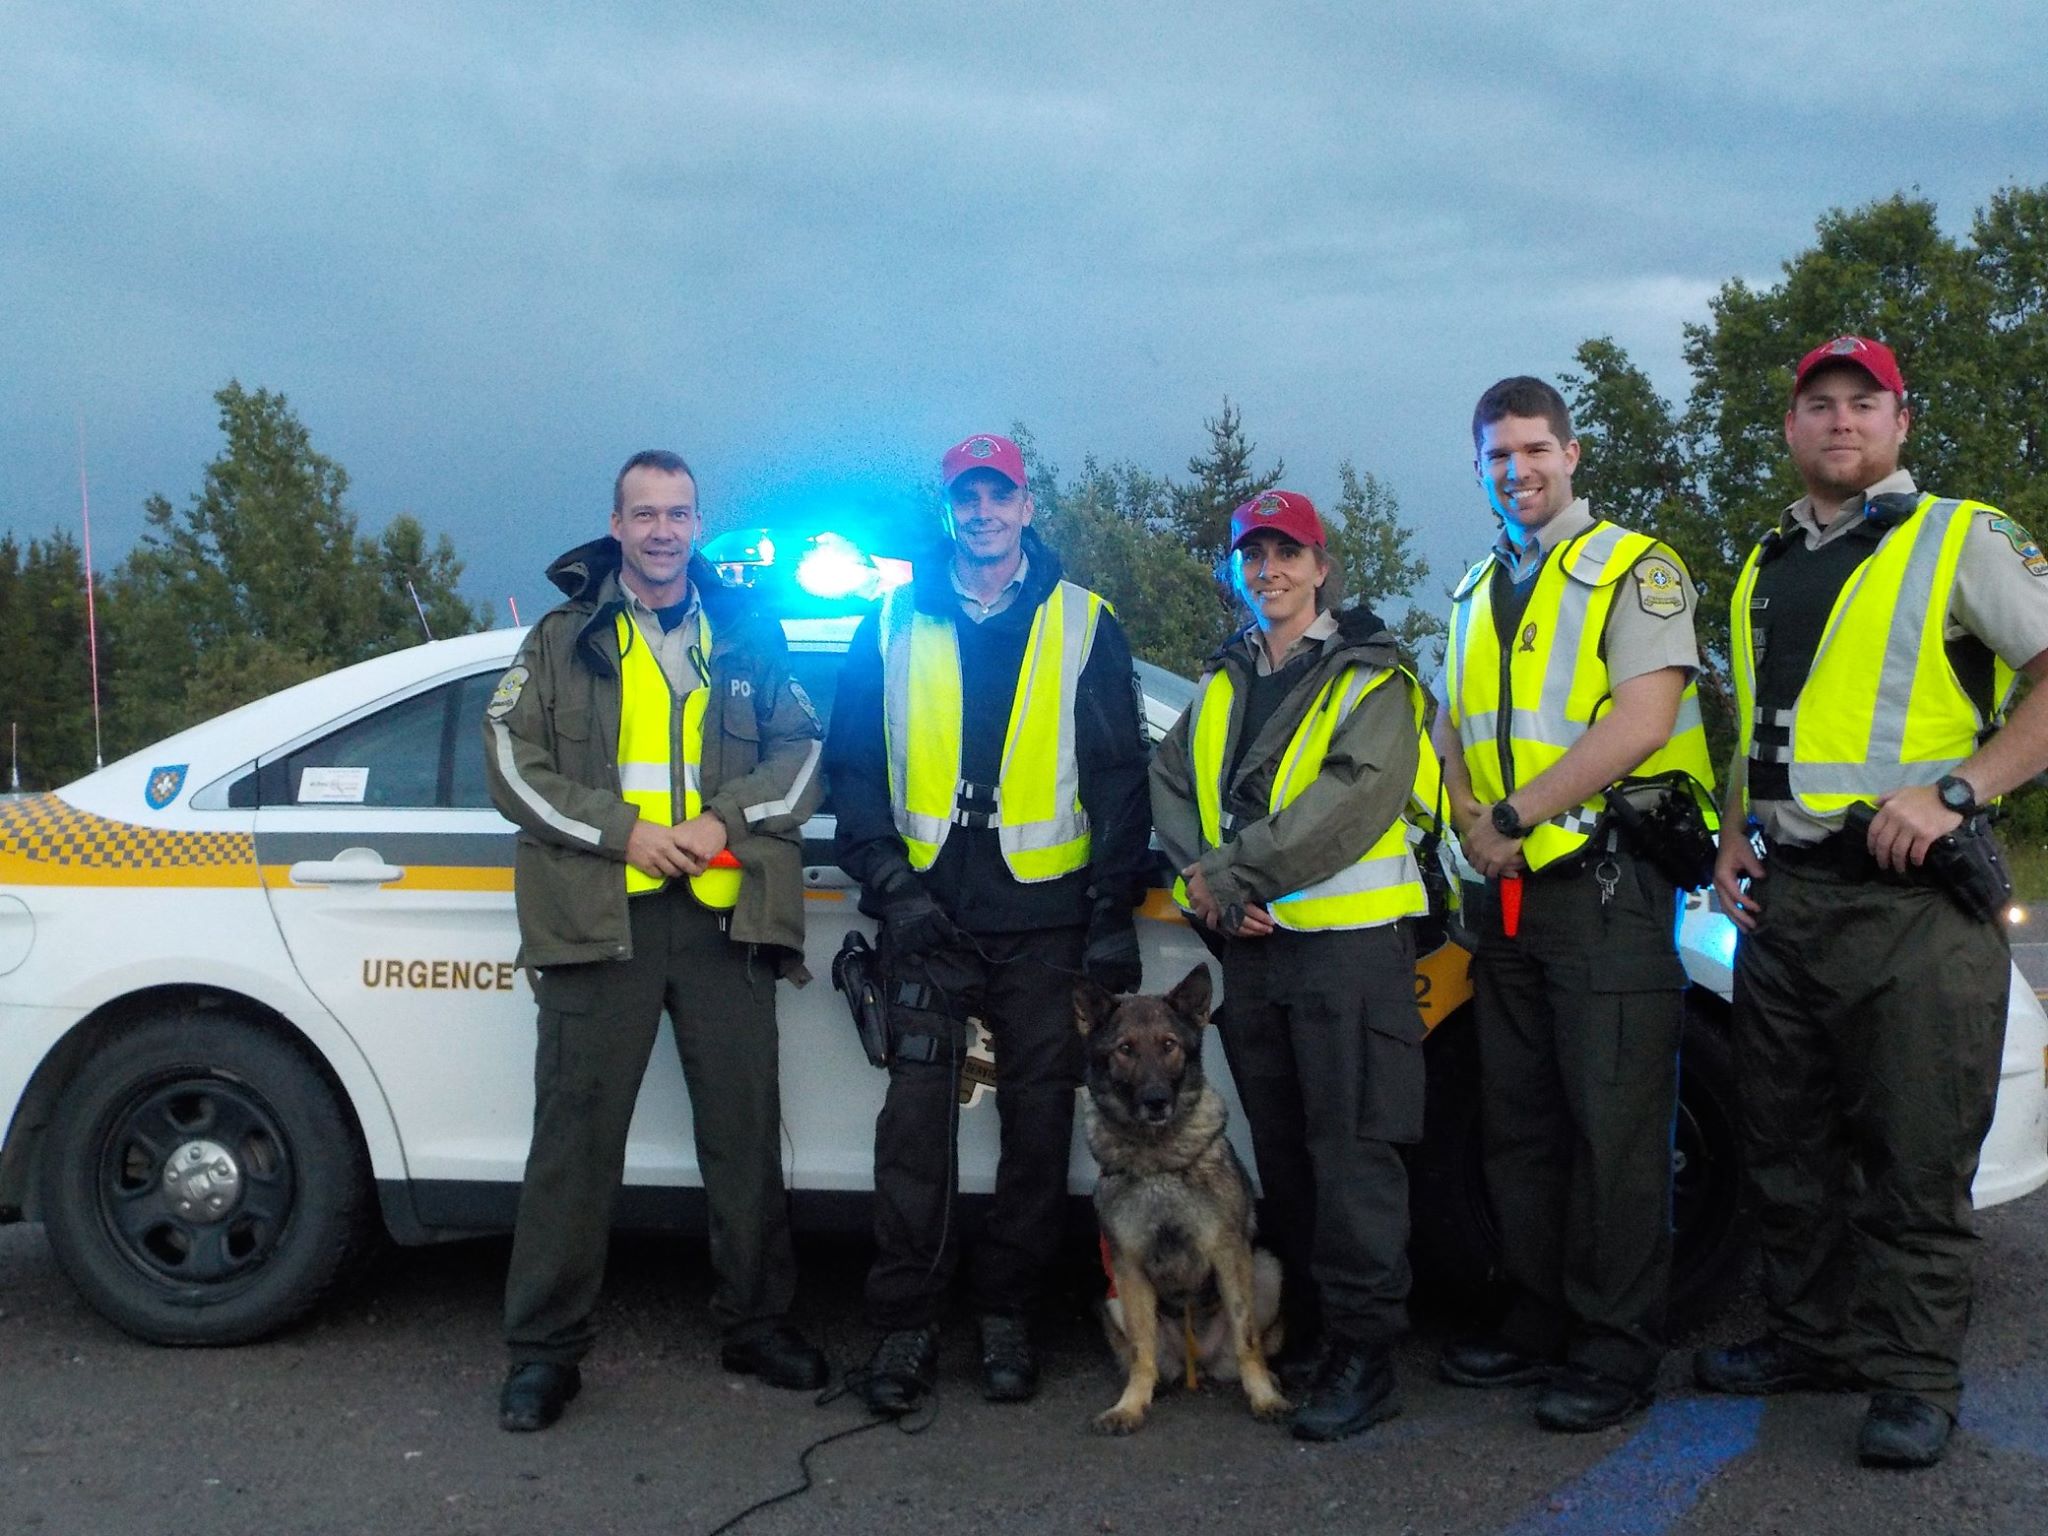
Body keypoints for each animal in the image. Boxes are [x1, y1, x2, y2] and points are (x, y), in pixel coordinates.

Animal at [1081, 966, 1286, 1441]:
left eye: (1169, 1045)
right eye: (1125, 1050)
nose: (1156, 1100)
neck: (1157, 1158)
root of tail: (1201, 1364)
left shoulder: (1229, 1254)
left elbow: (1248, 1339)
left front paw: (1263, 1397)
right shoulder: (1128, 1265)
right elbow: (1141, 1351)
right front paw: (1130, 1406)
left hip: (1266, 1267)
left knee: (1254, 1347)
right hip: (1115, 1298)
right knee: (1150, 1360)